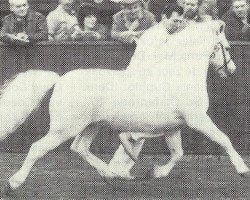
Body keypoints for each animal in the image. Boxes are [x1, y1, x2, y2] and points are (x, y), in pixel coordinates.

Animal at [2, 19, 249, 192]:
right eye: (227, 47)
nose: (232, 70)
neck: (177, 75)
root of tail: (60, 79)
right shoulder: (198, 119)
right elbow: (224, 139)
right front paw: (243, 170)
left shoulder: (173, 126)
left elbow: (177, 153)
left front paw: (155, 172)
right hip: (64, 128)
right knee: (37, 148)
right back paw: (14, 184)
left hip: (91, 125)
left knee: (79, 147)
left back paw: (112, 175)